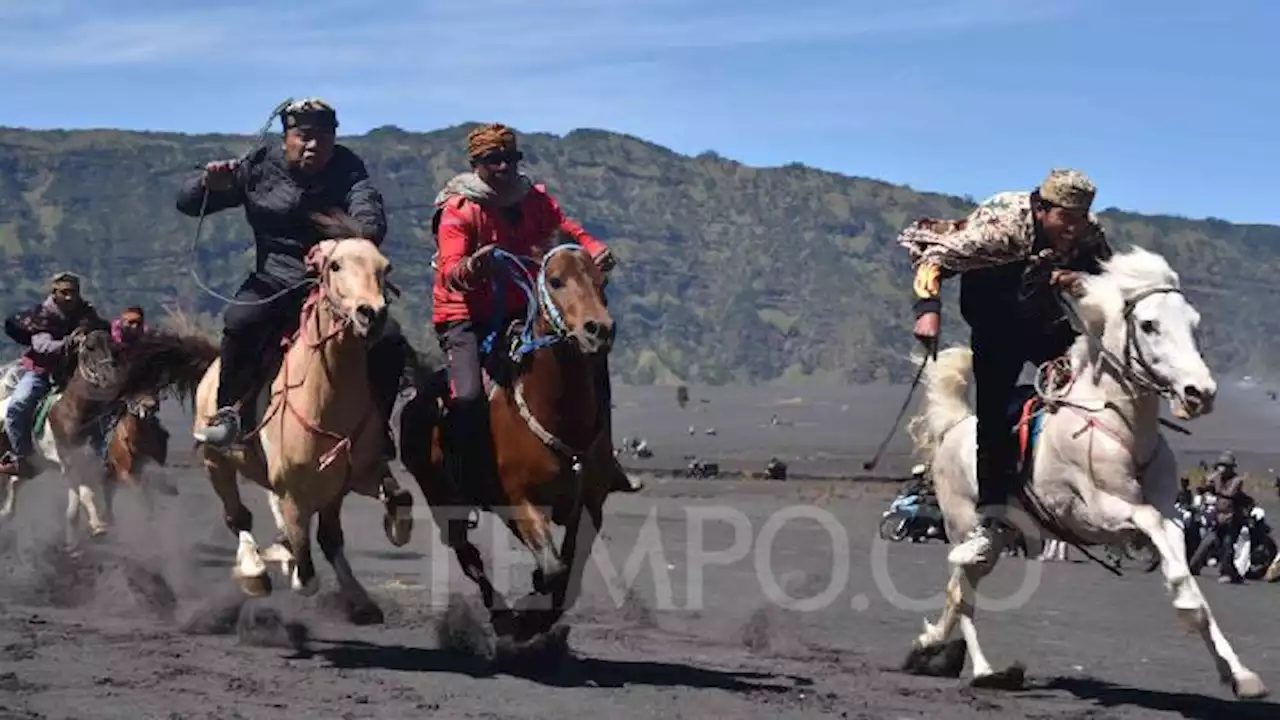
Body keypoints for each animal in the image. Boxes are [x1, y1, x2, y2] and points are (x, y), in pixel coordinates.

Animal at [401, 240, 616, 638]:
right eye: (556, 280)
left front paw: (539, 610)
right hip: (442, 500)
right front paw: (528, 618)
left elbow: (568, 573)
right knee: (467, 555)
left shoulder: (589, 507)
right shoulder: (522, 498)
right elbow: (555, 570)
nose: (599, 330)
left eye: (601, 280)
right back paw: (502, 615)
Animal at [901, 245, 1269, 696]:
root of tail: (955, 427)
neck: (1121, 427)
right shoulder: (1094, 513)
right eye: (1148, 324)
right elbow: (1148, 524)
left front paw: (1240, 675)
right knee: (962, 595)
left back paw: (930, 646)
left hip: (999, 536)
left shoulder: (1171, 515)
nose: (1200, 393)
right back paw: (985, 671)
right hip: (963, 526)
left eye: (1193, 323)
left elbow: (1187, 578)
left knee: (959, 593)